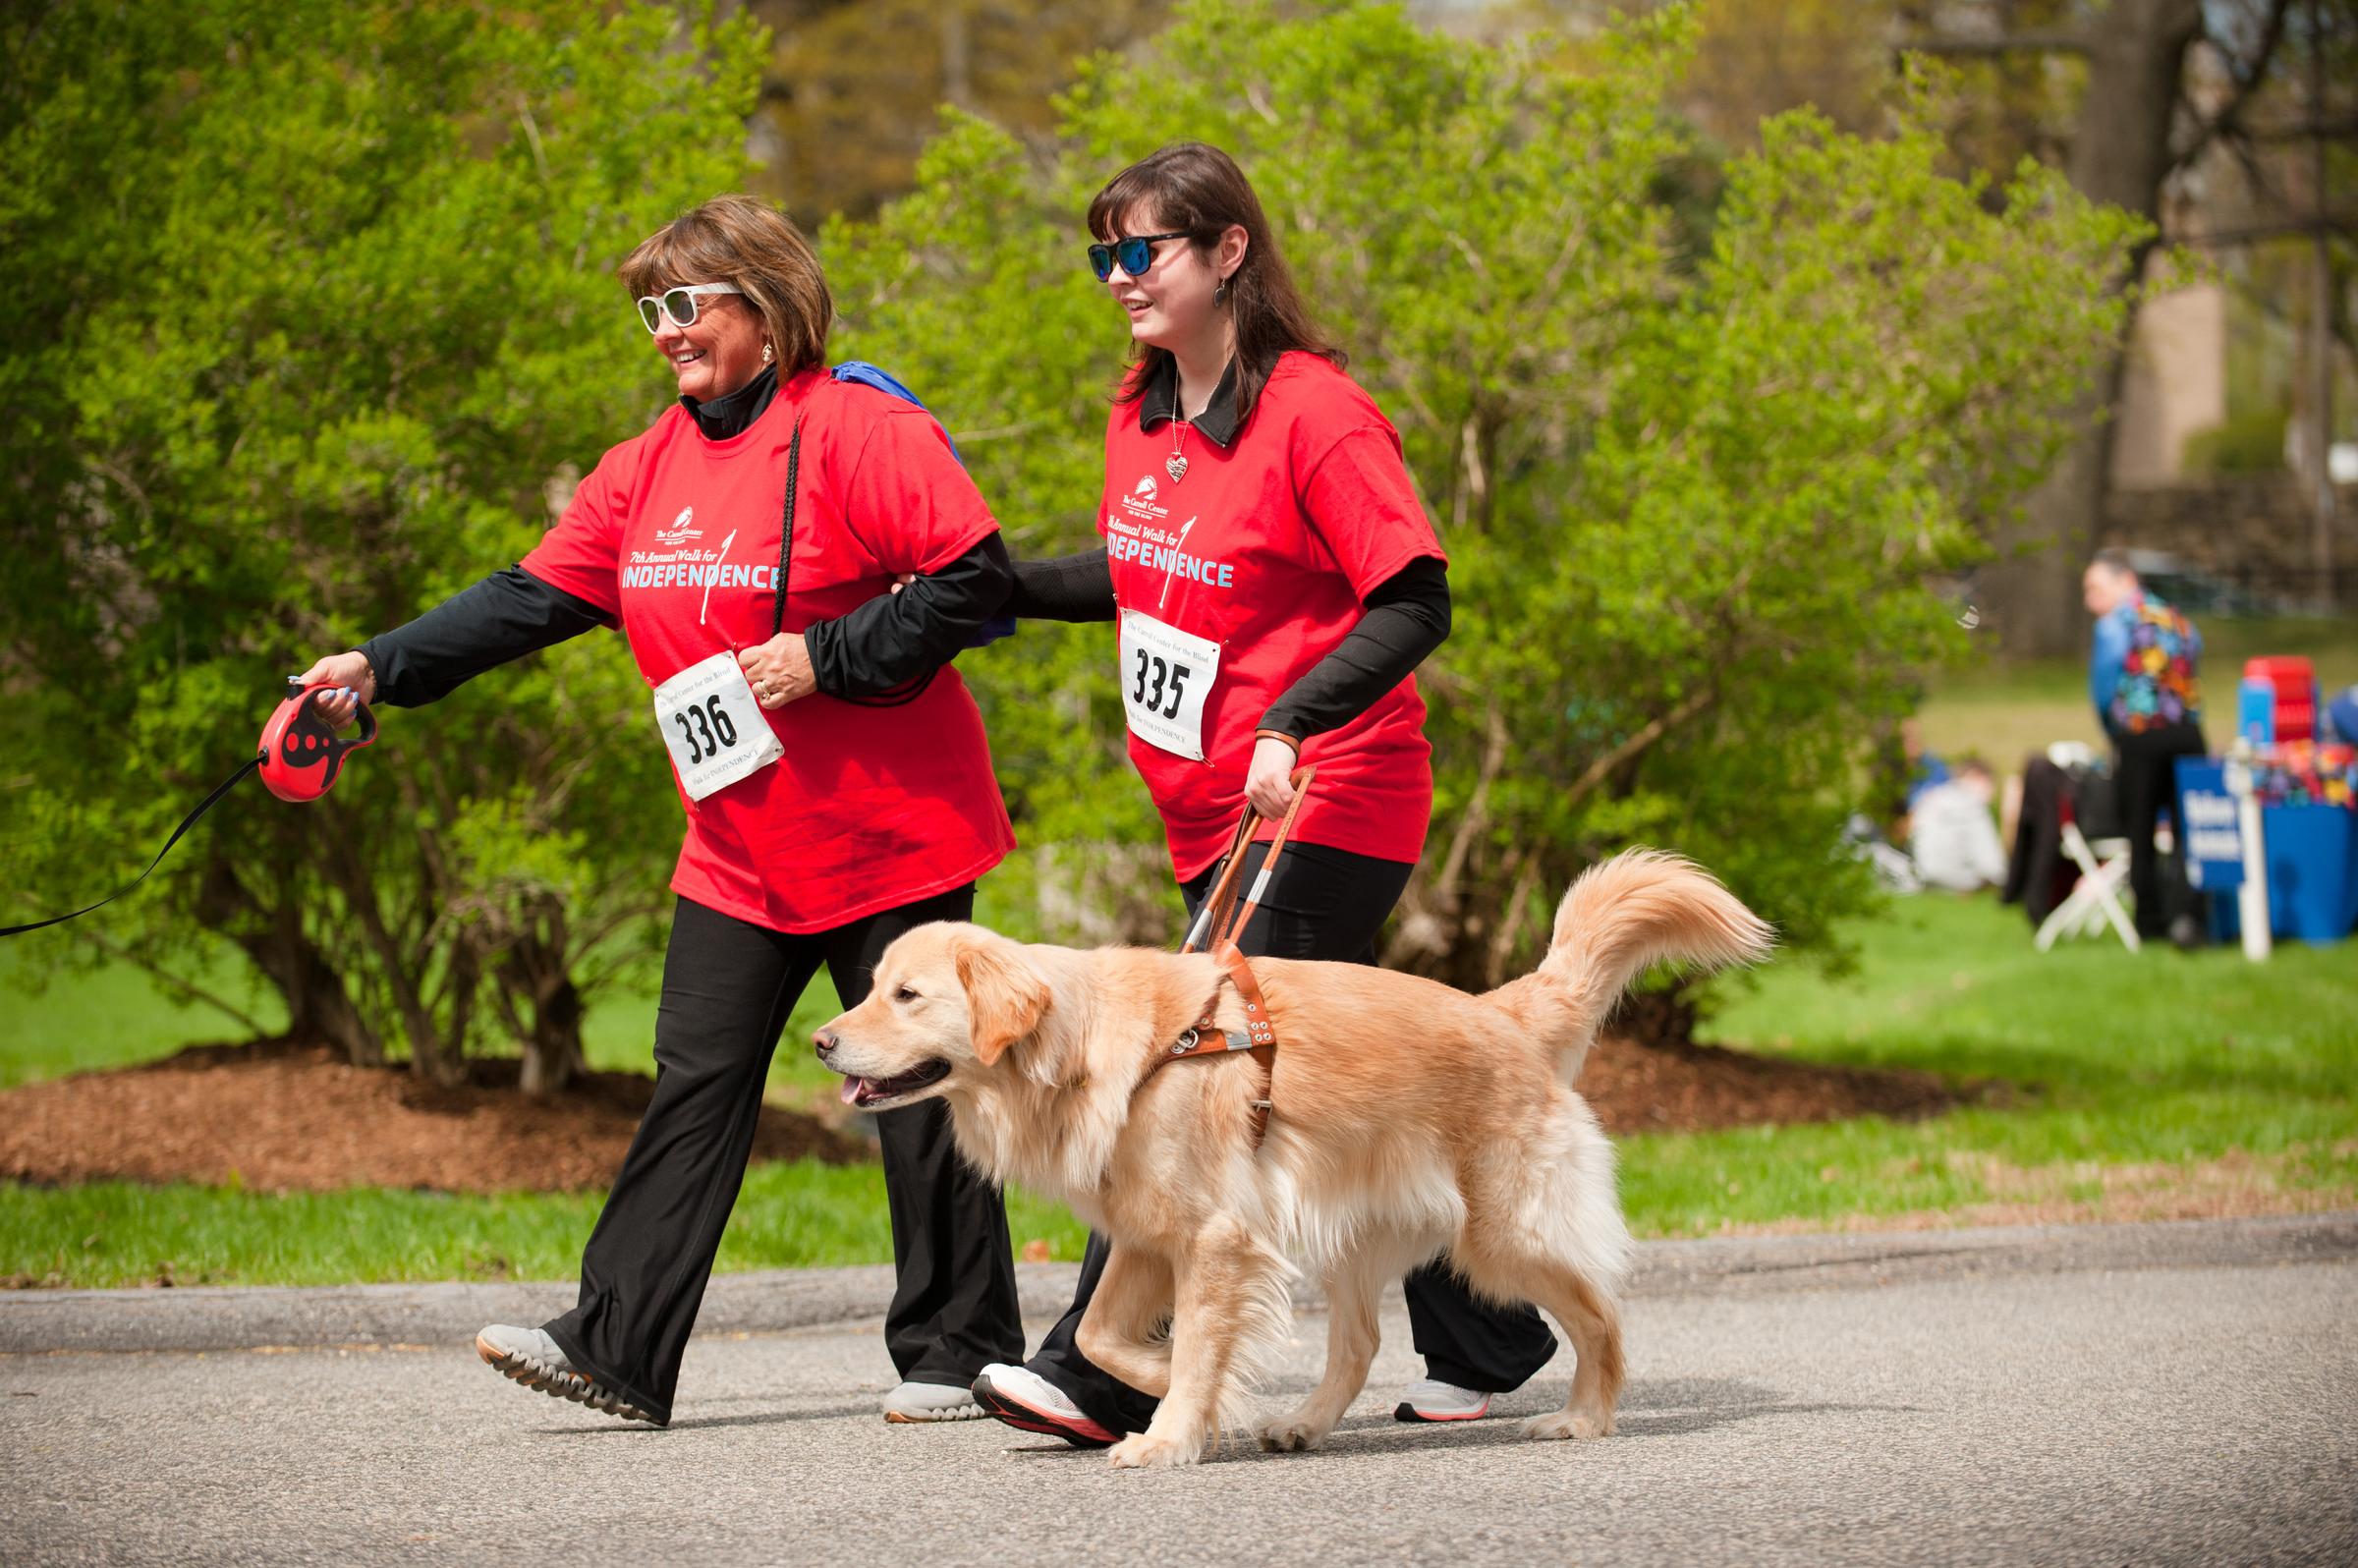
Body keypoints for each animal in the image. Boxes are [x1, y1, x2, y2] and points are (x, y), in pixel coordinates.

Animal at [820, 849, 1764, 1462]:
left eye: (907, 996)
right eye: (872, 988)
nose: (823, 1042)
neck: (1087, 1047)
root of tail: (1508, 1009)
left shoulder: (1213, 1237)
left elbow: (1196, 1338)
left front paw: (1170, 1432)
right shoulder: (1147, 1234)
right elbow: (1097, 1334)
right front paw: (1179, 1391)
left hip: (1504, 1237)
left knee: (1602, 1317)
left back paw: (1584, 1418)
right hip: (1355, 1238)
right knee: (1361, 1343)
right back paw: (1304, 1422)